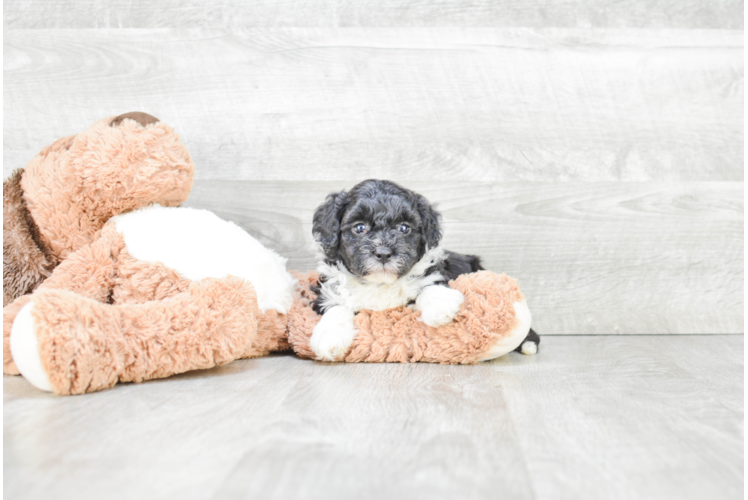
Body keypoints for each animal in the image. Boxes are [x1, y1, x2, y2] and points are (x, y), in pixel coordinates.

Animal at [308, 182, 536, 362]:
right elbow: (336, 307)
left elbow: (427, 284)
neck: (380, 283)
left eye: (404, 228)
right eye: (359, 228)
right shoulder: (326, 289)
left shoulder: (434, 271)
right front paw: (329, 336)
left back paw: (529, 343)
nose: (383, 253)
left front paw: (440, 305)